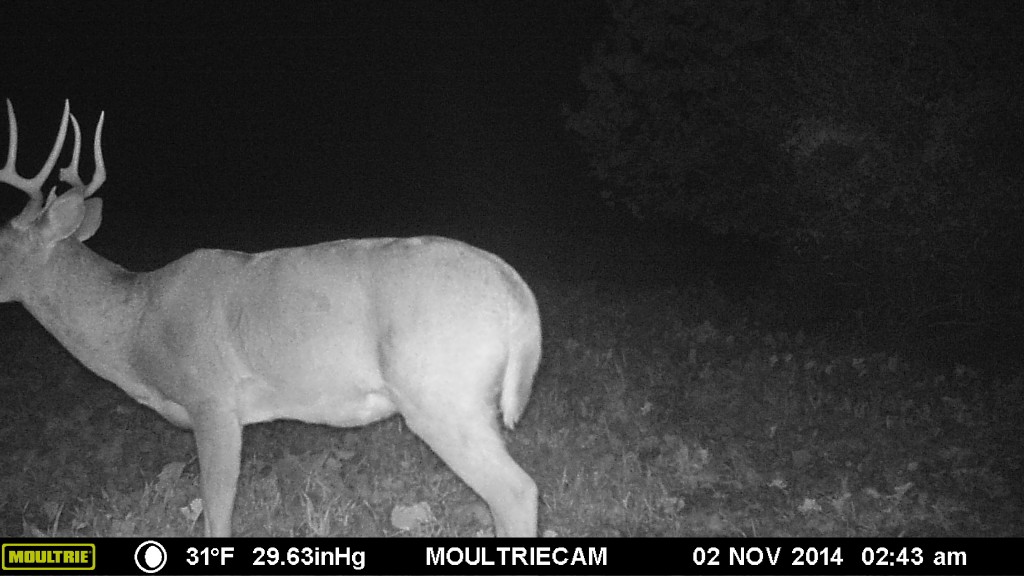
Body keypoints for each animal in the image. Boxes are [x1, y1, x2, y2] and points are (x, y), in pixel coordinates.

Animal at [0, 100, 541, 537]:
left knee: (516, 491)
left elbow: (217, 511)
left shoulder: (212, 401)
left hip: (441, 394)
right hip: (472, 402)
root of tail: (519, 298)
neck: (135, 327)